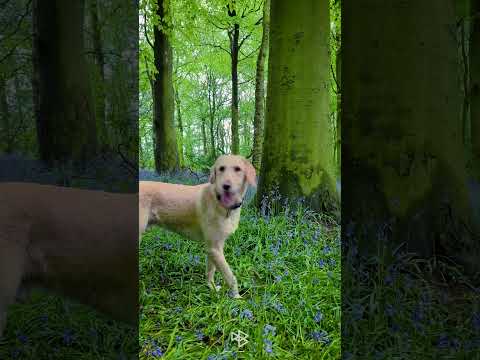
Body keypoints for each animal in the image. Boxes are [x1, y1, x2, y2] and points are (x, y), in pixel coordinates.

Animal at [139, 155, 256, 298]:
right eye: (221, 168)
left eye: (238, 169)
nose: (226, 186)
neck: (220, 202)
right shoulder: (215, 249)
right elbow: (230, 276)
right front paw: (236, 297)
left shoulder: (213, 248)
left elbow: (210, 270)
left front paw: (211, 288)